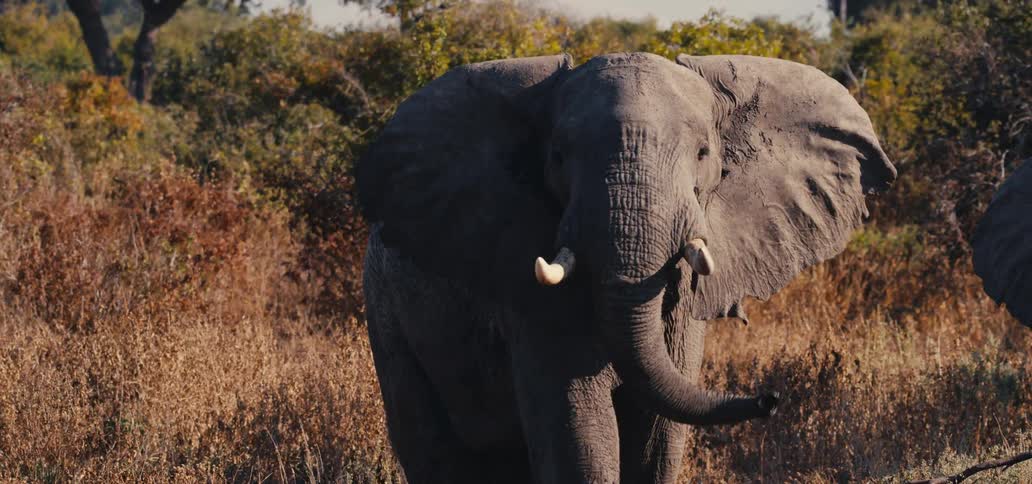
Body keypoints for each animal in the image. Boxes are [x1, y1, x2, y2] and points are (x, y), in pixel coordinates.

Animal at [357, 52, 896, 483]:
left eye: (704, 154)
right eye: (557, 157)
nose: (770, 398)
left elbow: (658, 436)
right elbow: (578, 432)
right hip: (385, 312)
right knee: (433, 447)